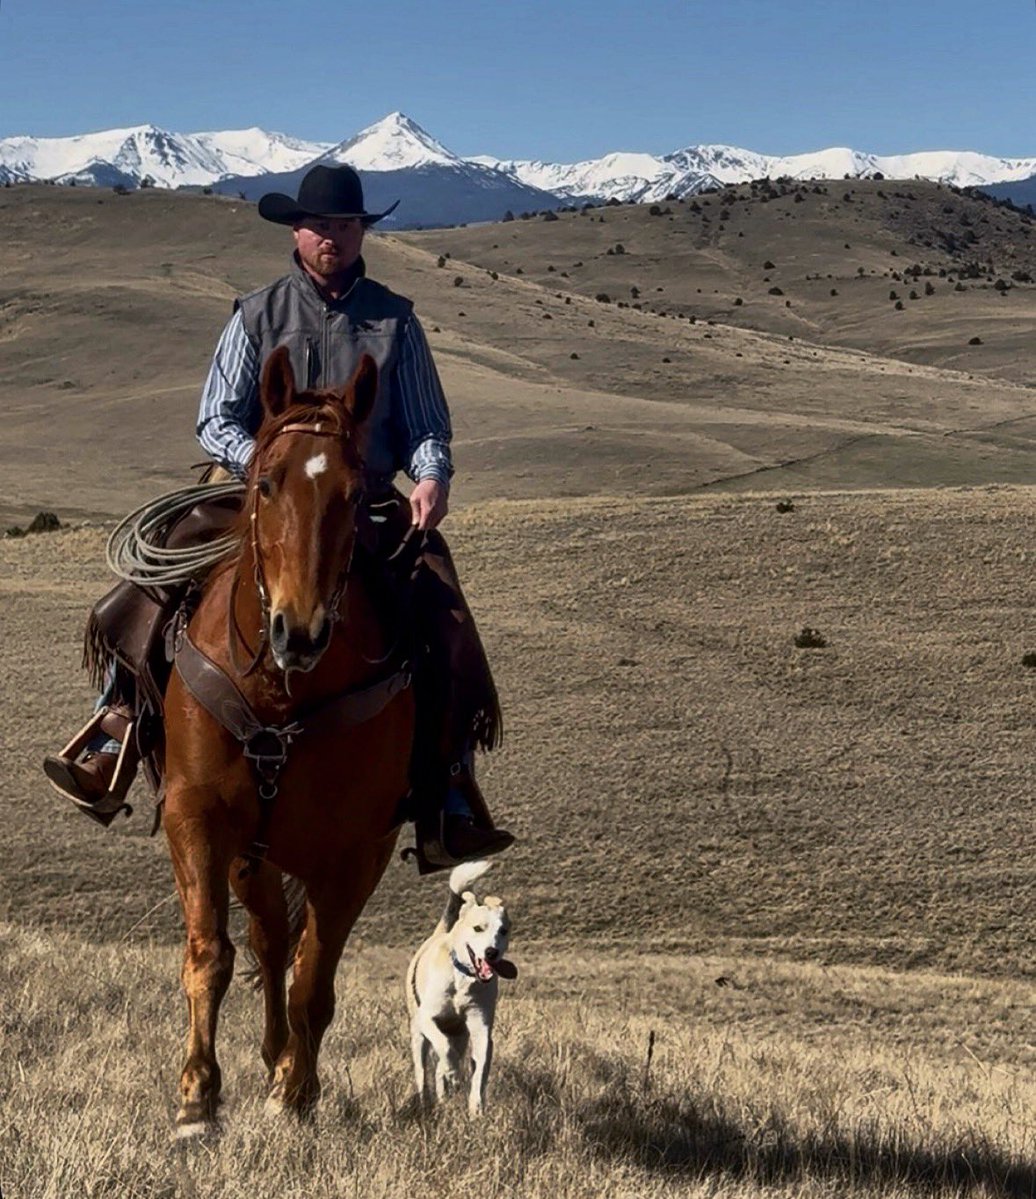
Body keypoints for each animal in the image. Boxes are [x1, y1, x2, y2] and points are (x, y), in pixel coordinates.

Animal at [161, 346, 415, 1136]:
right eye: (267, 482)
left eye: (353, 493)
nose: (298, 632)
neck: (284, 692)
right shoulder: (195, 816)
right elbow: (210, 953)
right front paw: (196, 1098)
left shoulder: (357, 852)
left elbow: (315, 980)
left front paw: (295, 1093)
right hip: (253, 851)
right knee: (269, 939)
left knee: (290, 951)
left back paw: (283, 1066)